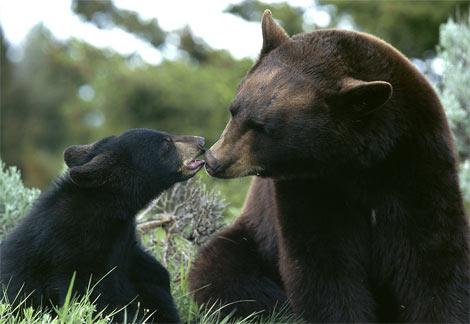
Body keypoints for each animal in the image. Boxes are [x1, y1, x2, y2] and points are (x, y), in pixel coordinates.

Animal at [188, 9, 470, 322]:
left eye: (264, 127)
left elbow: (431, 258)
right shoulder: (310, 186)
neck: (359, 162)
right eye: (234, 110)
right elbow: (323, 265)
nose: (214, 160)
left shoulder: (416, 163)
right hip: (251, 239)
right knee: (222, 270)